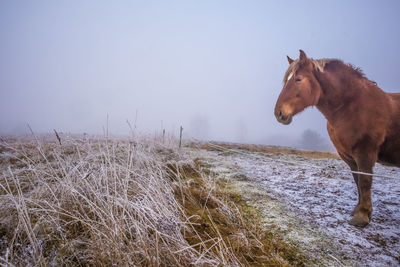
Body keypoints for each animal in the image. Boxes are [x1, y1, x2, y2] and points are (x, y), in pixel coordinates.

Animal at [274, 49, 400, 228]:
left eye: (298, 79)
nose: (278, 113)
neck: (352, 106)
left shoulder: (365, 154)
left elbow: (365, 181)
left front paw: (362, 216)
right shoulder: (349, 156)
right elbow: (357, 181)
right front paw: (359, 210)